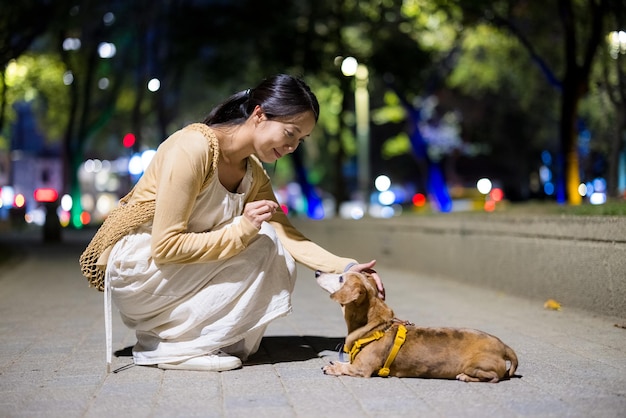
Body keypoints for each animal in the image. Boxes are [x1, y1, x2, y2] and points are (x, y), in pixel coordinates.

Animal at [316, 272, 516, 382]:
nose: (317, 272)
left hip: (475, 367)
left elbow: (349, 368)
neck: (376, 327)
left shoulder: (362, 369)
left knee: (493, 378)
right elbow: (346, 362)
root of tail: (504, 347)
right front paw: (337, 362)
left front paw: (333, 368)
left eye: (340, 278)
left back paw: (465, 377)